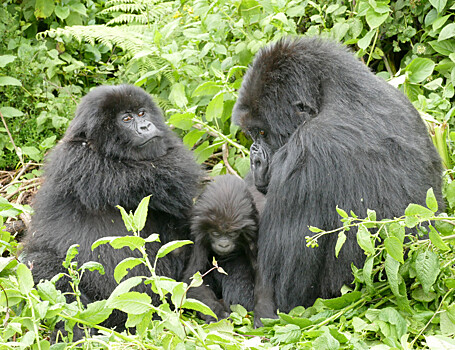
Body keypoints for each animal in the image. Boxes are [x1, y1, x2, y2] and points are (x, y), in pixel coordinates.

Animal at [183, 175, 266, 322]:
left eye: (232, 234)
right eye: (215, 233)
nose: (223, 245)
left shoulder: (254, 235)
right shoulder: (198, 236)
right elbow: (192, 278)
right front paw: (216, 311)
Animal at [233, 37, 444, 326]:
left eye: (263, 133)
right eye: (252, 134)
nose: (254, 158)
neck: (333, 93)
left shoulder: (307, 150)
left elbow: (281, 297)